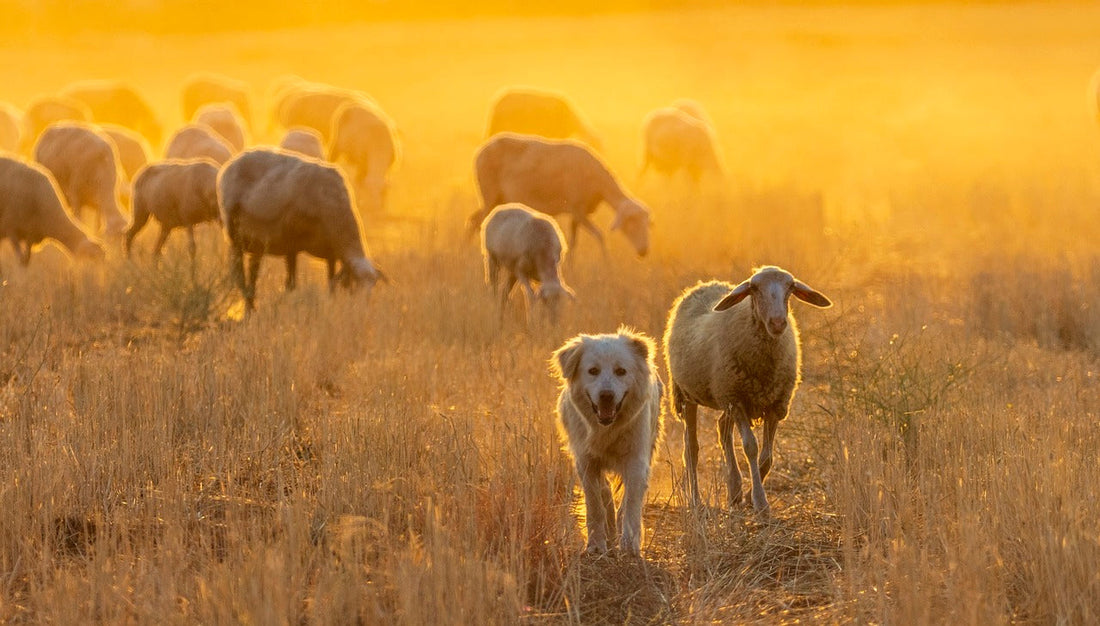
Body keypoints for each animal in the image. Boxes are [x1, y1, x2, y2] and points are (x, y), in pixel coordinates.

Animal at [215, 148, 387, 310]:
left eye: (373, 287)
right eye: (356, 285)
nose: (362, 309)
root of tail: (231, 163)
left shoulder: (330, 251)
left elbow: (330, 281)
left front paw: (330, 301)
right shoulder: (291, 243)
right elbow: (291, 284)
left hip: (256, 241)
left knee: (252, 272)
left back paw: (250, 304)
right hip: (235, 235)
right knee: (239, 274)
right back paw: (249, 306)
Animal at [550, 325, 660, 554]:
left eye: (621, 371)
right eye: (593, 371)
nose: (606, 395)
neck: (607, 428)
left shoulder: (637, 460)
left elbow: (631, 504)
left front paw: (630, 545)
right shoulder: (586, 461)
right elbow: (595, 504)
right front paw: (596, 544)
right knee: (605, 491)